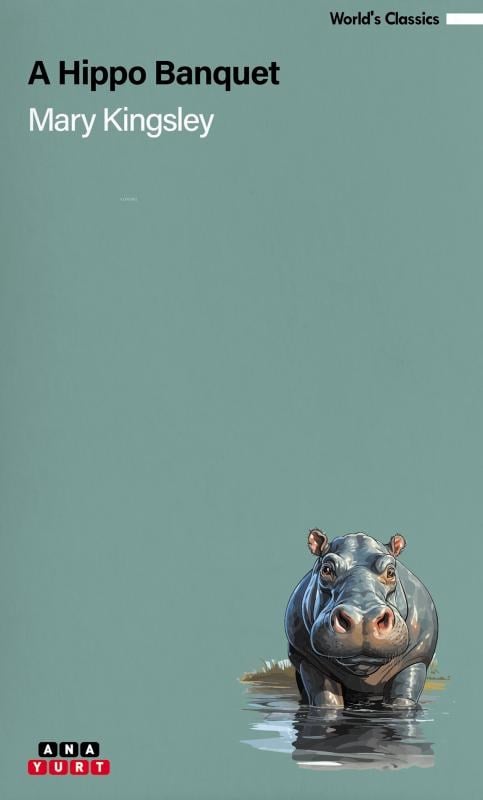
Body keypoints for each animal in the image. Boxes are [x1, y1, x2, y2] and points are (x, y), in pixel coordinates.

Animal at [285, 529, 438, 708]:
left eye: (391, 572)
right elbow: (326, 699)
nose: (363, 619)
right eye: (326, 569)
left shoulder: (416, 660)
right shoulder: (308, 661)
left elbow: (403, 698)